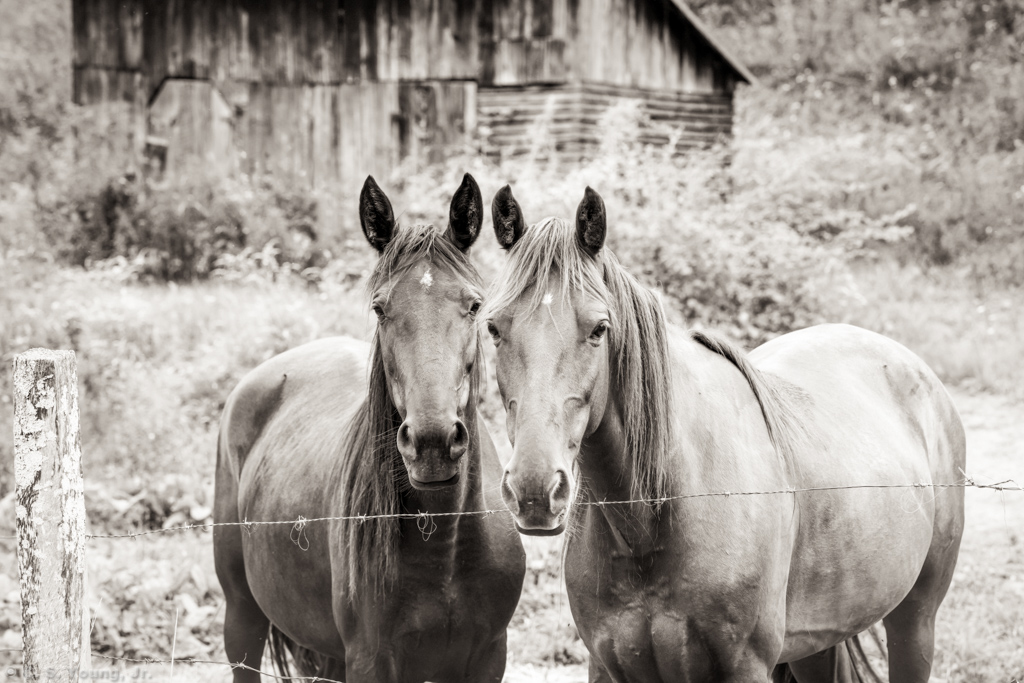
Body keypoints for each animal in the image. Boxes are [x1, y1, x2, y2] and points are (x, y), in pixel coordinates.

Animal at [213, 174, 526, 683]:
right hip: (241, 615)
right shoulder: (370, 659)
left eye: (474, 306)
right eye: (380, 309)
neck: (444, 543)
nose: (432, 443)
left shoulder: (488, 656)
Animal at [481, 184, 965, 682]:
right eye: (493, 327)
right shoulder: (607, 667)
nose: (534, 490)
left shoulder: (745, 667)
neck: (655, 519)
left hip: (915, 619)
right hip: (816, 643)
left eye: (599, 328)